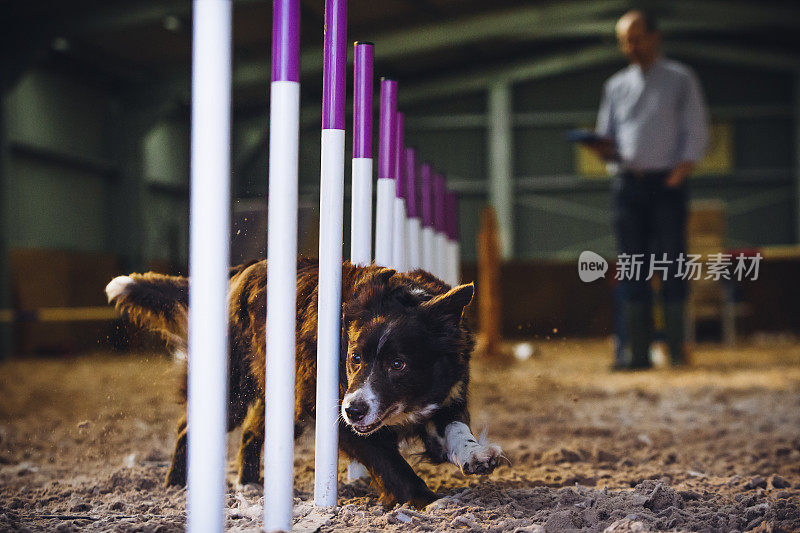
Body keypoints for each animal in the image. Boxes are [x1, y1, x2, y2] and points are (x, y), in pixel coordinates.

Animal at [105, 258, 504, 508]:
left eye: (398, 364)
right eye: (354, 358)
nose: (354, 410)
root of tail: (240, 271)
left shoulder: (447, 393)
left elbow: (456, 429)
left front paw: (475, 455)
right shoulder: (333, 410)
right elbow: (390, 463)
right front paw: (431, 502)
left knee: (251, 431)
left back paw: (249, 482)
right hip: (234, 390)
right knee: (189, 426)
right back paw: (177, 483)